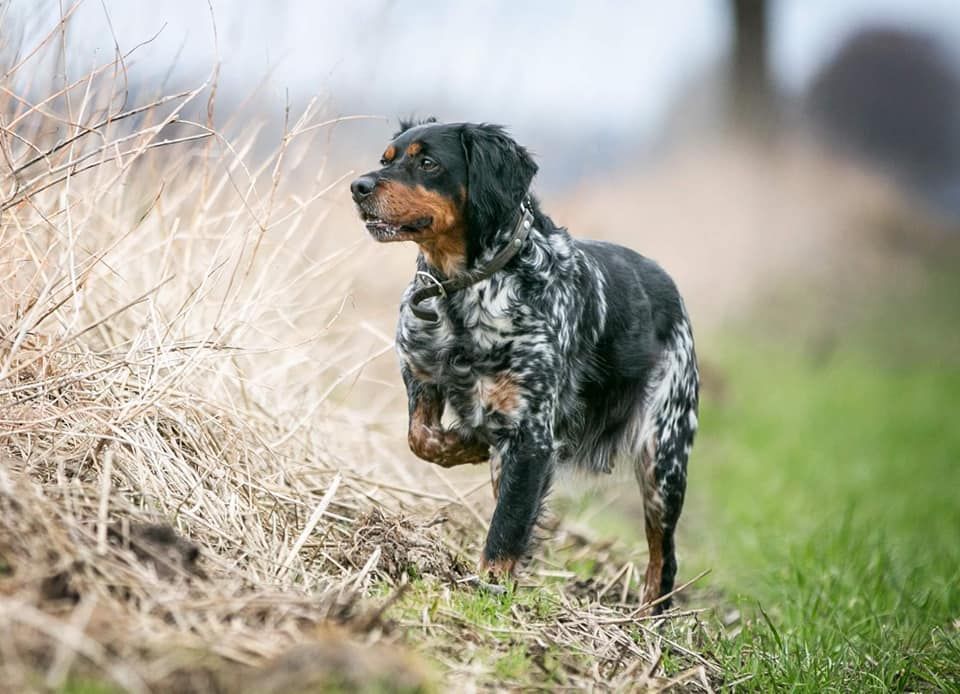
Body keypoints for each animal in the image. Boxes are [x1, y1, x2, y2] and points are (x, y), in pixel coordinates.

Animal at [352, 121, 696, 616]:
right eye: (386, 159)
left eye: (428, 162)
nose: (358, 187)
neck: (468, 290)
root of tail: (666, 281)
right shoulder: (421, 371)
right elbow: (422, 438)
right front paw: (468, 442)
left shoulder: (532, 435)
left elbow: (507, 528)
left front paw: (490, 587)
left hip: (663, 454)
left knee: (662, 554)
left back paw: (648, 618)